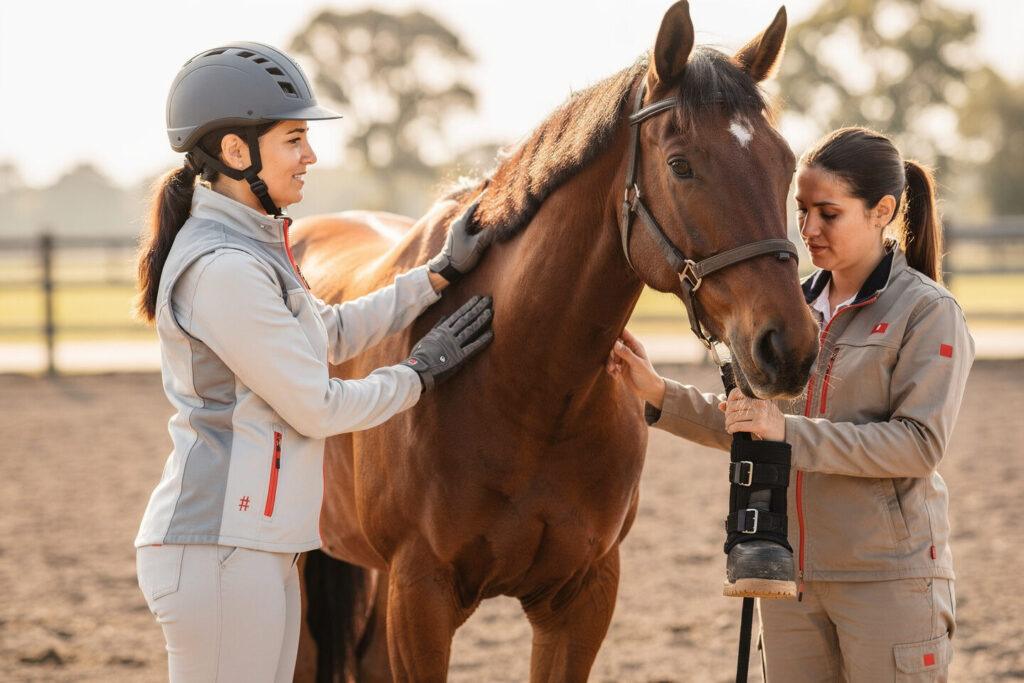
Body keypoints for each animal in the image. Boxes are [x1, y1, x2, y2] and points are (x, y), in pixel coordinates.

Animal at [290, 2, 818, 680]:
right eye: (681, 165)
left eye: (785, 162)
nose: (789, 347)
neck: (526, 390)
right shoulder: (420, 597)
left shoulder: (582, 597)